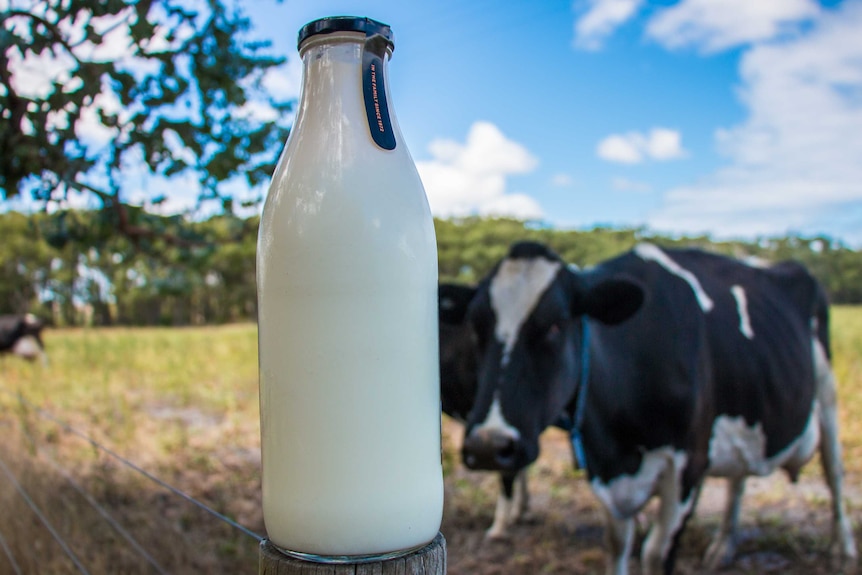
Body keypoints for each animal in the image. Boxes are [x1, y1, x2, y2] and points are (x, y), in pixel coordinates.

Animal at [446, 242, 856, 575]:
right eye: (477, 327)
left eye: (556, 325)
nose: (487, 446)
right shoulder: (604, 468)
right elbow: (616, 545)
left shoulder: (689, 463)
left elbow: (656, 554)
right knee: (739, 478)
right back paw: (724, 544)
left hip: (827, 392)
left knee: (834, 472)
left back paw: (844, 550)